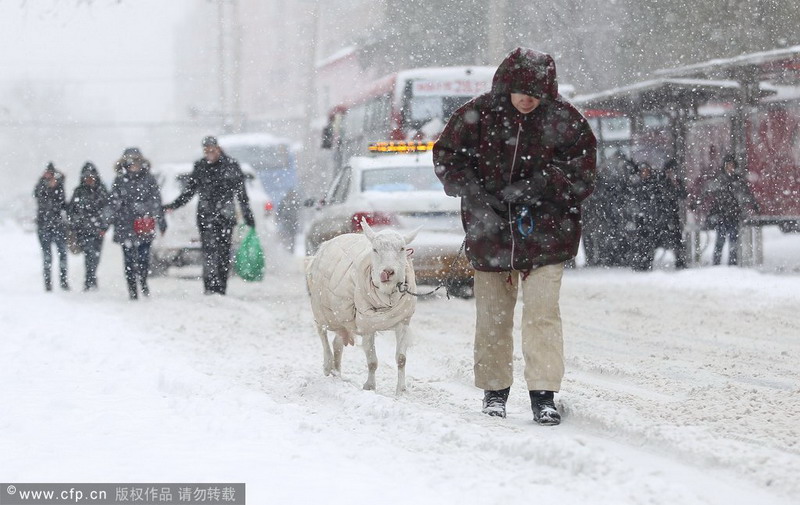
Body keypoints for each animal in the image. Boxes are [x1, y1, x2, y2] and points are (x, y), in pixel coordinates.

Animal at [306, 220, 418, 394]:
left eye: (402, 248)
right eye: (375, 249)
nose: (388, 272)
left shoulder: (403, 321)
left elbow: (401, 359)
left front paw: (401, 390)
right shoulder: (366, 322)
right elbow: (372, 360)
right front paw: (369, 386)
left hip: (343, 316)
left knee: (338, 341)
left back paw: (337, 373)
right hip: (321, 307)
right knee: (321, 331)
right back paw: (327, 365)